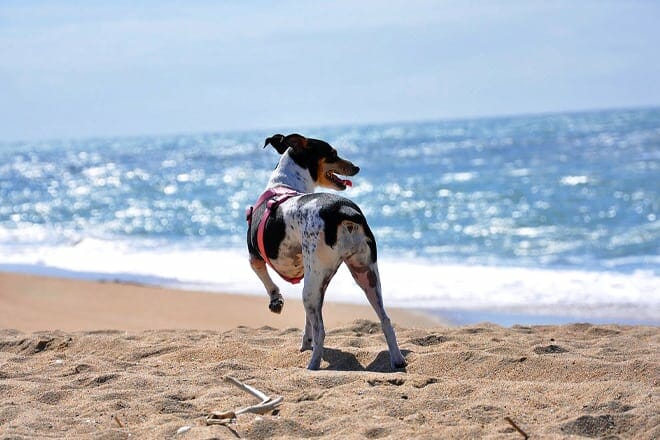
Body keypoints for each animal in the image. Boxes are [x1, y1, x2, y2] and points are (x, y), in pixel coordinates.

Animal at [245, 132, 404, 370]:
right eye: (332, 153)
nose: (356, 167)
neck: (283, 184)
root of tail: (344, 211)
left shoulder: (254, 256)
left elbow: (267, 280)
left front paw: (276, 301)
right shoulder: (312, 278)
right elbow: (307, 321)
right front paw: (304, 341)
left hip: (312, 288)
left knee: (321, 330)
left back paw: (312, 365)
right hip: (365, 274)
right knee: (385, 319)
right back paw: (397, 360)